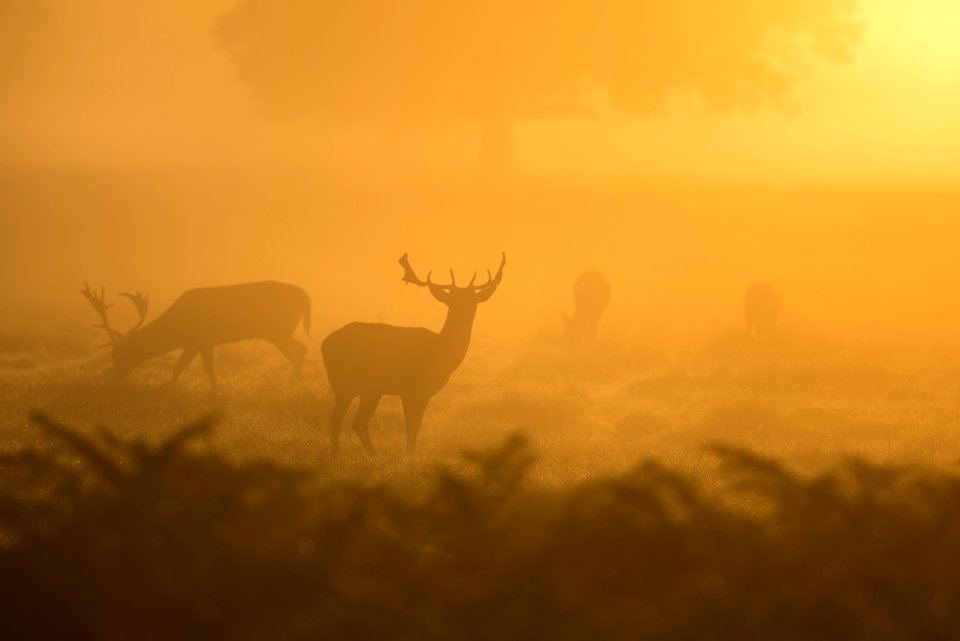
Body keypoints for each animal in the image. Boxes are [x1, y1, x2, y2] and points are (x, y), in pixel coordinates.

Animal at [81, 282, 312, 390]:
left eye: (121, 354)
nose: (114, 380)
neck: (178, 328)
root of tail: (305, 295)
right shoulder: (192, 343)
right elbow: (179, 367)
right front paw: (169, 387)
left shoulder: (203, 338)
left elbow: (208, 367)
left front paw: (215, 392)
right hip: (279, 331)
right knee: (300, 350)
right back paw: (297, 386)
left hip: (278, 330)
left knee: (299, 350)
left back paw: (293, 387)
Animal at [322, 252, 506, 452]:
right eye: (452, 300)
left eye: (473, 300)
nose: (465, 313)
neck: (442, 353)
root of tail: (324, 344)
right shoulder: (410, 388)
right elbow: (410, 429)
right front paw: (409, 454)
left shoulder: (424, 393)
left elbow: (415, 429)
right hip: (344, 382)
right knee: (337, 420)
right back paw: (338, 453)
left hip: (370, 389)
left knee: (358, 421)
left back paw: (372, 453)